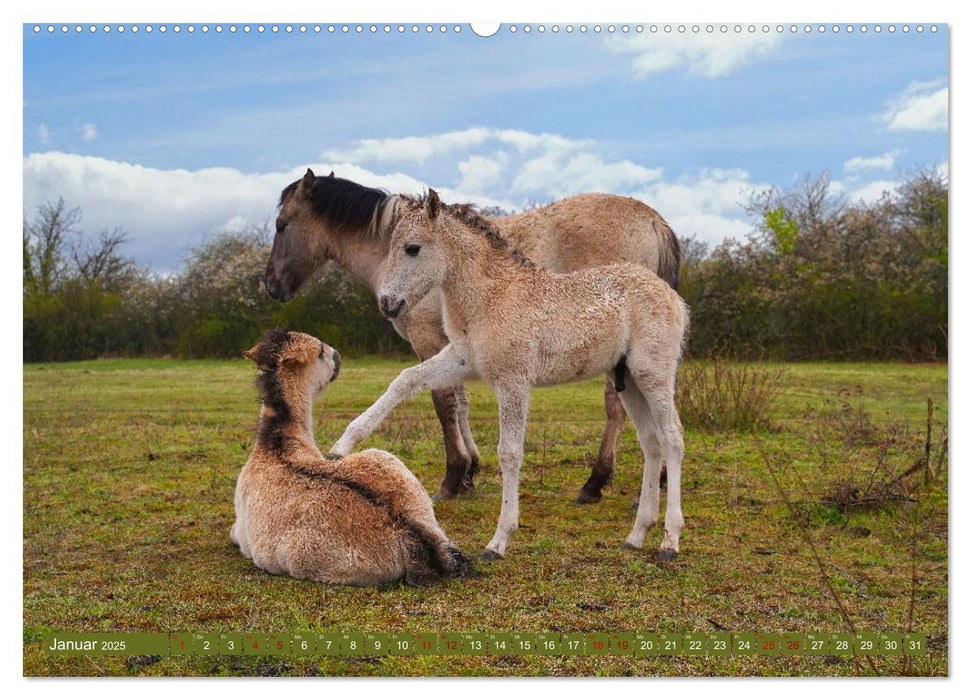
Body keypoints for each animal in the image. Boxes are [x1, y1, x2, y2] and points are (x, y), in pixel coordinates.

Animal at [262, 170, 680, 504]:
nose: (270, 286)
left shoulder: (427, 341)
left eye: (281, 224)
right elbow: (459, 402)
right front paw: (471, 470)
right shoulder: (455, 347)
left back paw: (595, 484)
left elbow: (443, 403)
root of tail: (653, 219)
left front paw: (453, 477)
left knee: (617, 407)